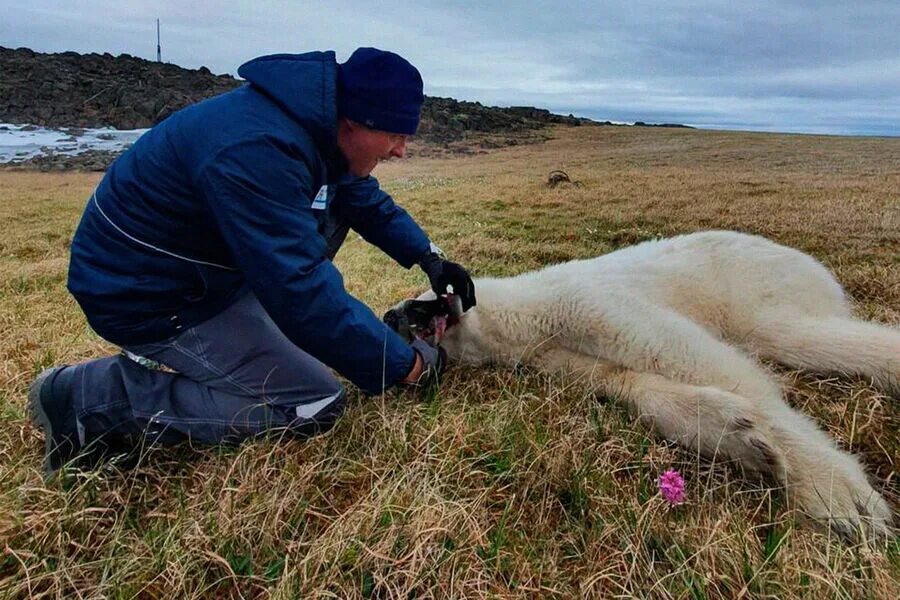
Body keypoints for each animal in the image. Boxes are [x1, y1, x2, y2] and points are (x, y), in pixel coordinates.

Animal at [384, 232, 896, 540]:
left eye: (419, 299)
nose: (391, 315)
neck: (522, 314)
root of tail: (813, 265)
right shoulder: (554, 354)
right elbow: (628, 382)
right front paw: (738, 435)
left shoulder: (583, 304)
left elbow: (687, 354)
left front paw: (837, 493)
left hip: (758, 284)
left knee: (790, 332)